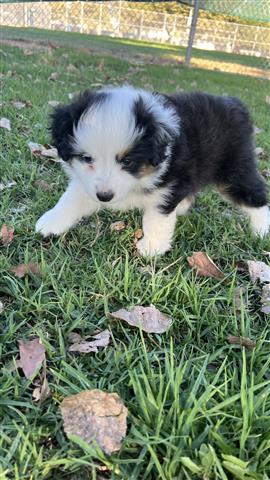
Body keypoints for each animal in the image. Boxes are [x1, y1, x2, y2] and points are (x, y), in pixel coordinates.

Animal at [35, 85, 268, 255]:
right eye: (86, 158)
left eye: (127, 161)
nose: (105, 197)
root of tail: (236, 104)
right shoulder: (88, 183)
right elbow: (70, 199)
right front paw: (50, 222)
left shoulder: (167, 187)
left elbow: (156, 219)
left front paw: (151, 248)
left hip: (235, 170)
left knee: (256, 196)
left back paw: (261, 232)